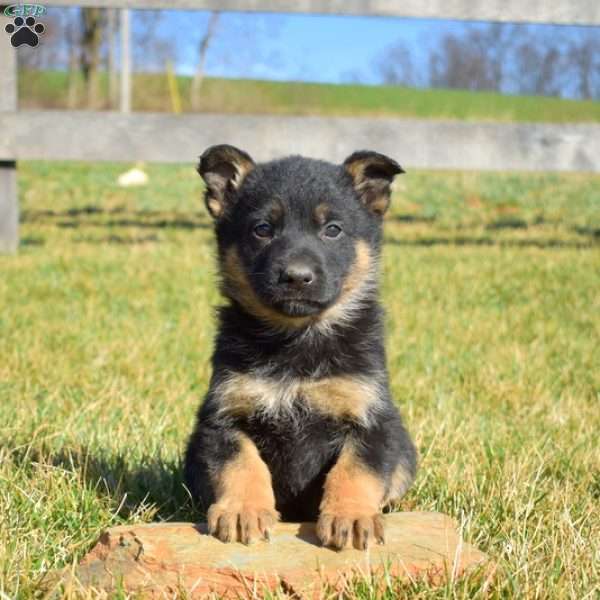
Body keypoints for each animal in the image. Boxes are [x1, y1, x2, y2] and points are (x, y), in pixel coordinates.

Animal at [184, 145, 418, 548]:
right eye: (262, 229)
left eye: (332, 230)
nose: (296, 277)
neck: (296, 342)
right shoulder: (223, 416)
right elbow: (241, 463)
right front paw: (242, 511)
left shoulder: (371, 419)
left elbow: (355, 469)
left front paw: (352, 516)